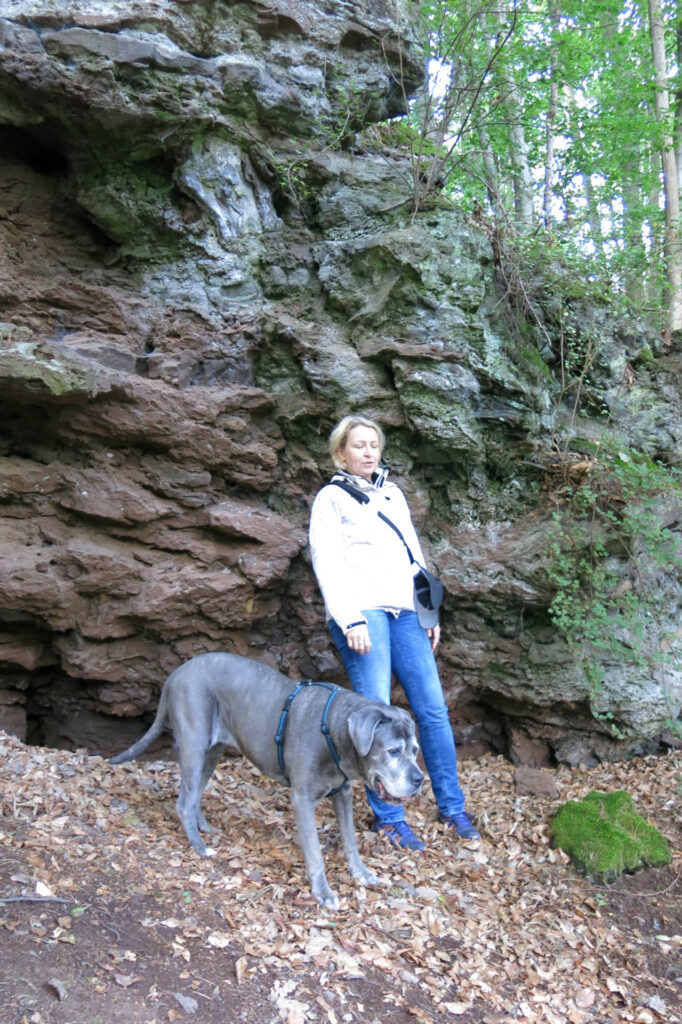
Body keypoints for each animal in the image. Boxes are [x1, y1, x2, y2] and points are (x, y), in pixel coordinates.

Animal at [110, 652, 424, 909]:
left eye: (415, 750)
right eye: (393, 751)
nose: (419, 779)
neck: (334, 730)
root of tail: (177, 672)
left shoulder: (343, 795)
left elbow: (350, 840)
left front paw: (360, 872)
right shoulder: (302, 799)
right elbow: (315, 852)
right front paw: (322, 892)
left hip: (212, 750)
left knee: (195, 793)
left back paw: (205, 828)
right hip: (194, 744)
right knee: (184, 802)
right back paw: (199, 846)